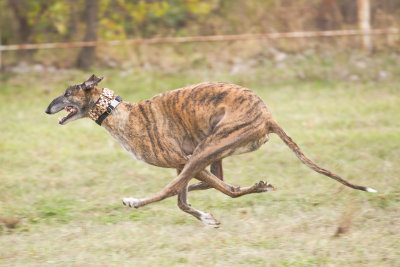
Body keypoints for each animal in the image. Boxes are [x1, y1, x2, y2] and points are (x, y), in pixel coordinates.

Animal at [45, 74, 376, 227]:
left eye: (66, 93)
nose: (47, 109)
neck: (119, 112)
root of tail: (268, 116)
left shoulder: (182, 160)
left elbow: (180, 193)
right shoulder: (183, 163)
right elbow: (186, 197)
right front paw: (206, 216)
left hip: (209, 147)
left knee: (211, 188)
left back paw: (136, 201)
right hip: (212, 151)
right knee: (217, 183)